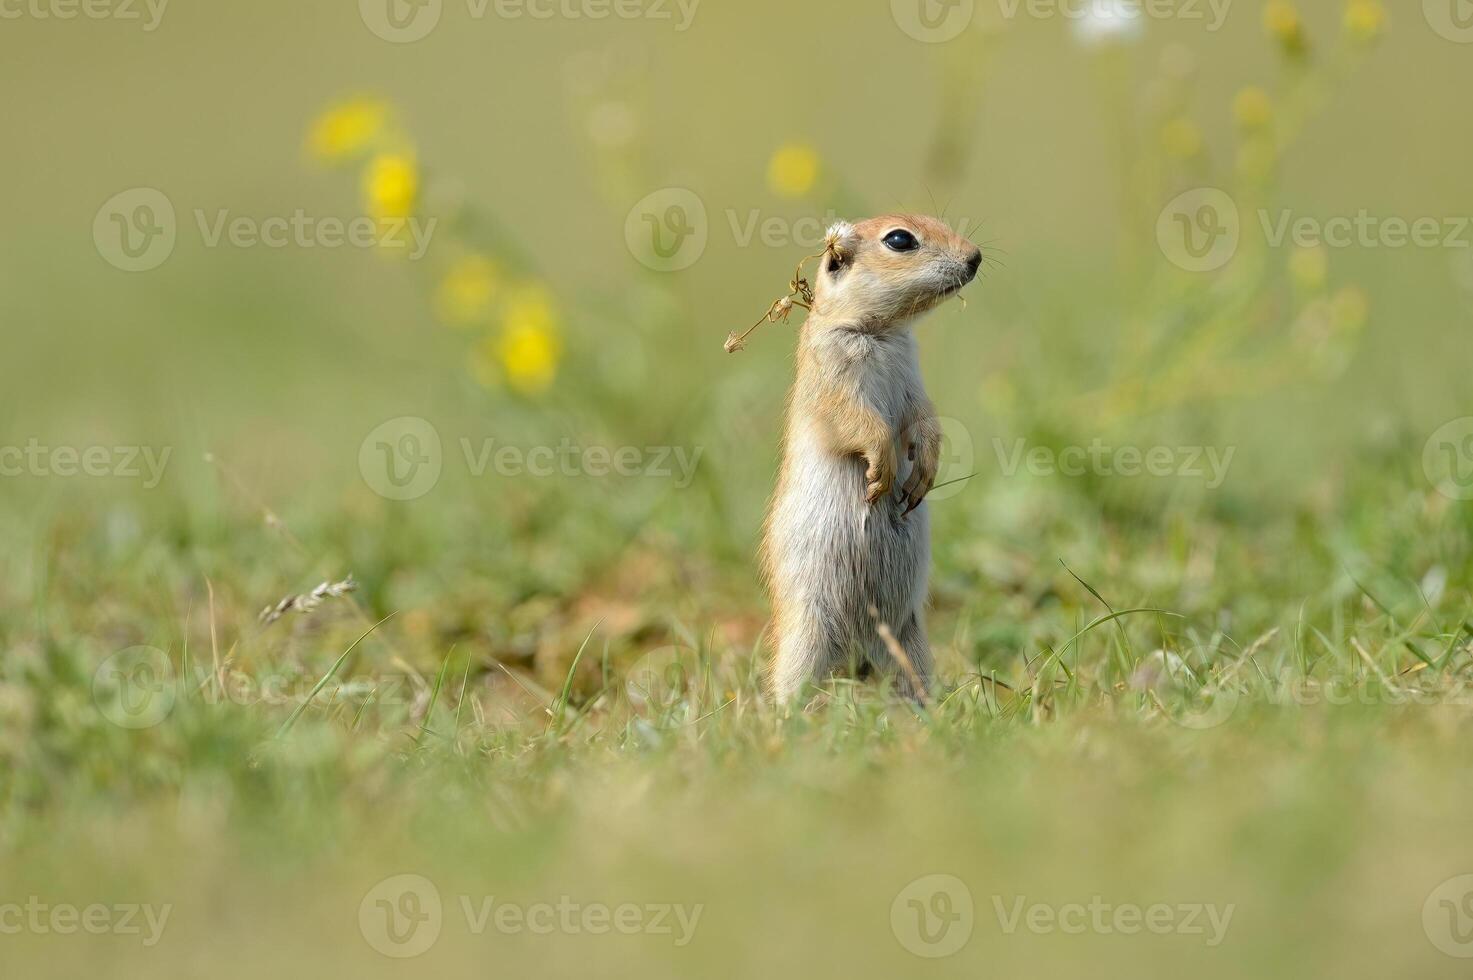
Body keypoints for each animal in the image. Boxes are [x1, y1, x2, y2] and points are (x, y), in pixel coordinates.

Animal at [760, 215, 978, 704]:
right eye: (900, 239)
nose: (975, 257)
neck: (881, 334)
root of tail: (857, 657)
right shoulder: (831, 372)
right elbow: (856, 420)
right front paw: (883, 471)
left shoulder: (914, 378)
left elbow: (924, 418)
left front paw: (923, 472)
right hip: (806, 636)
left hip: (909, 642)